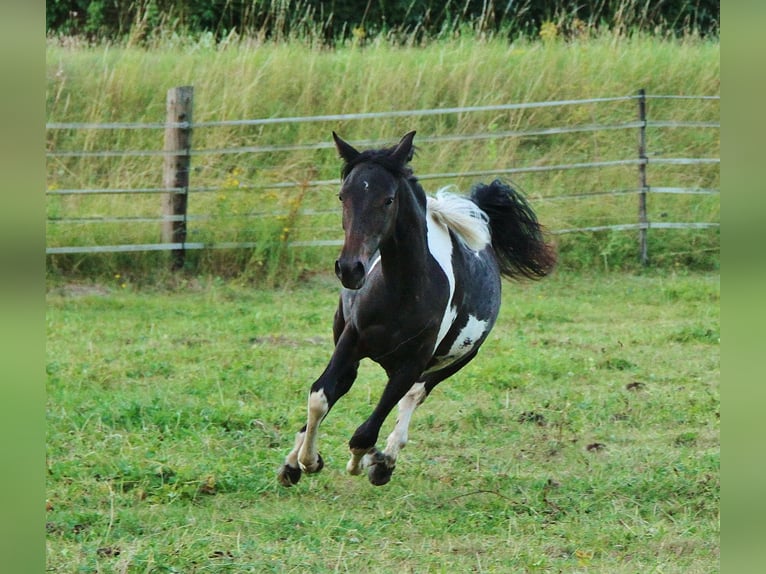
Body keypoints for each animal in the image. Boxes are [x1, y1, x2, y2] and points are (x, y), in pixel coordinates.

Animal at [280, 133, 556, 488]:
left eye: (388, 199)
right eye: (343, 196)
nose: (350, 269)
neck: (403, 292)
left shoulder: (413, 363)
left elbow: (366, 432)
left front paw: (363, 462)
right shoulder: (351, 341)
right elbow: (320, 395)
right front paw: (305, 462)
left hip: (455, 360)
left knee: (413, 395)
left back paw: (383, 462)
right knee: (346, 385)